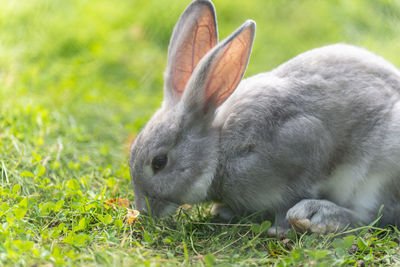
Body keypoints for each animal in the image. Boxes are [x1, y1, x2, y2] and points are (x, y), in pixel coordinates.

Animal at [129, 0, 400, 237]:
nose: (144, 209)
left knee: (372, 217)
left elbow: (291, 197)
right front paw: (225, 211)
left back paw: (318, 215)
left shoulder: (303, 144)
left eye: (159, 162)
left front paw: (280, 229)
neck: (219, 148)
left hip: (378, 176)